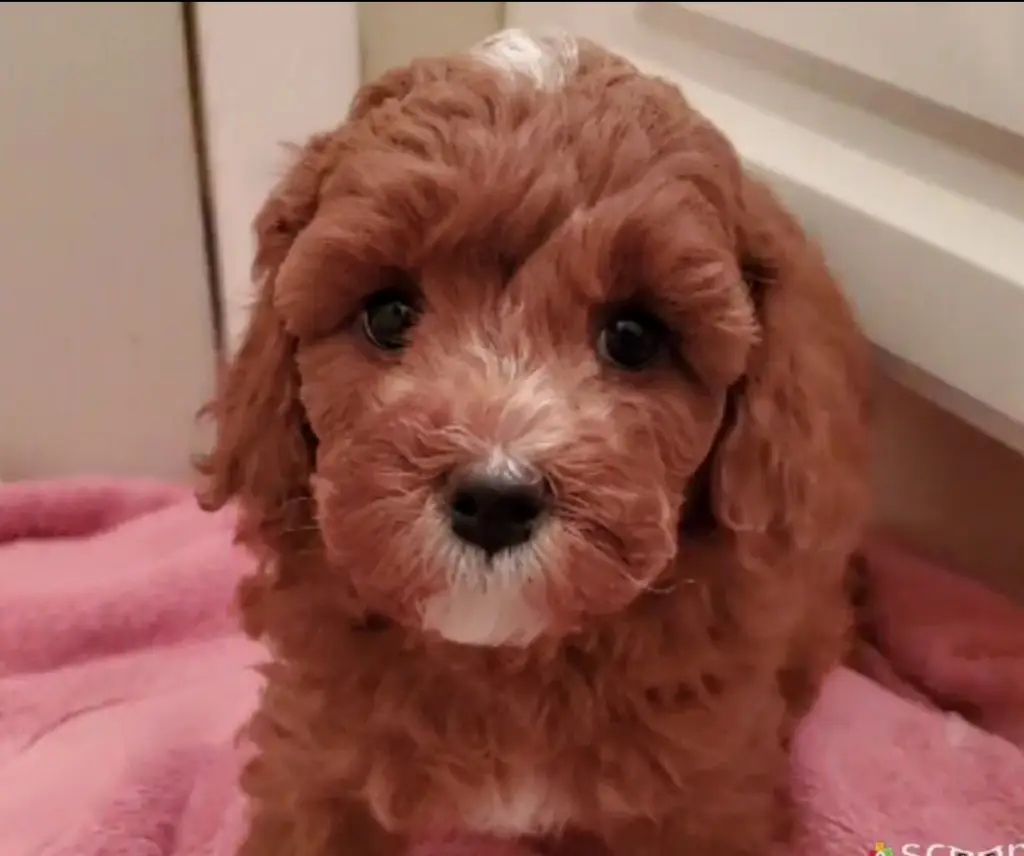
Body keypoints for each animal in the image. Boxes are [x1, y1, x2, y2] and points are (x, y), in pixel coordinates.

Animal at [197, 26, 872, 855]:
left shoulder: (709, 791)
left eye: (633, 336)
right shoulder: (317, 751)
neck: (507, 659)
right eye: (387, 315)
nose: (494, 500)